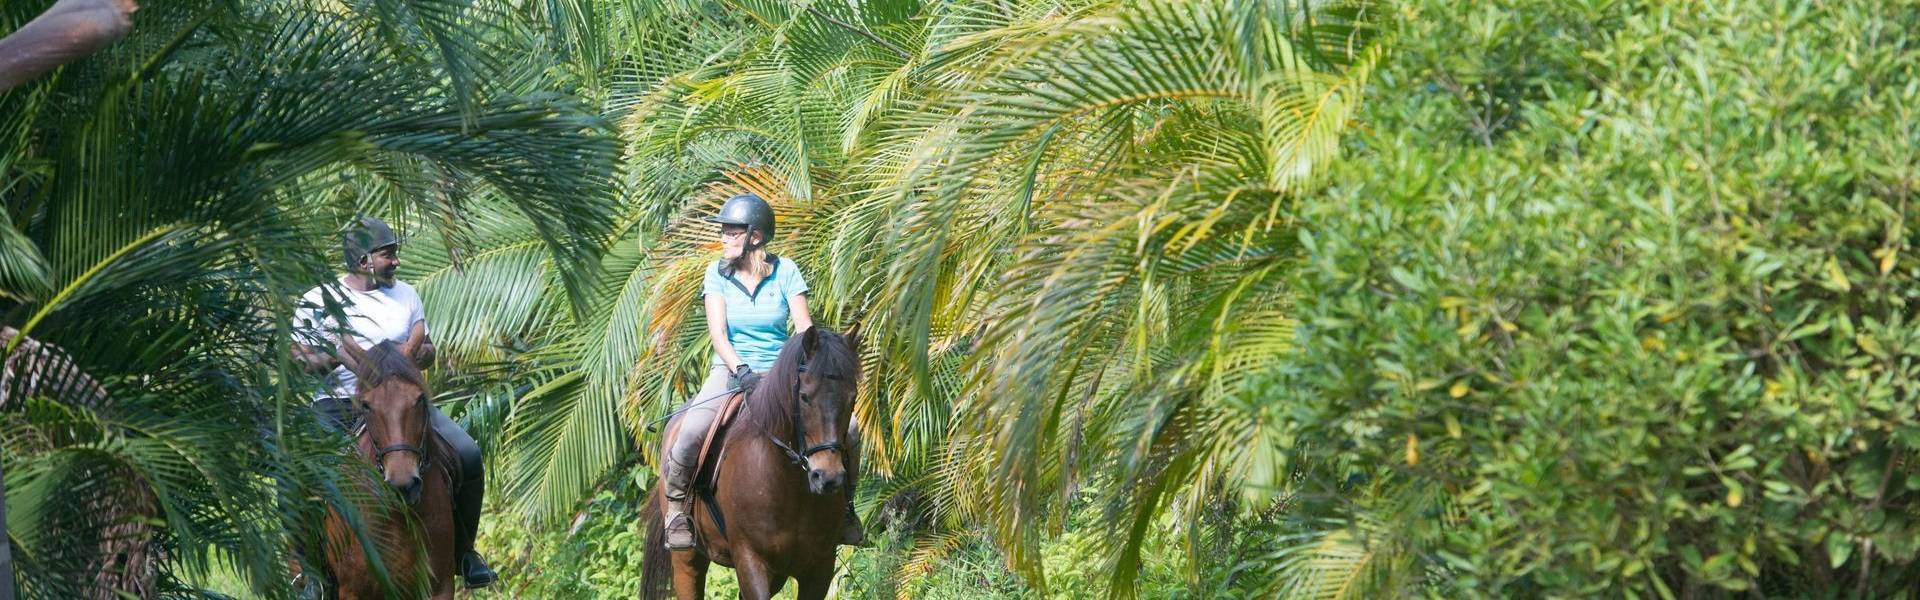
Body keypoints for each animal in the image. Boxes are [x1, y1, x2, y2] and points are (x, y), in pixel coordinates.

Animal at [641, 328, 860, 600]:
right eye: (804, 397)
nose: (828, 477)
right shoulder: (751, 560)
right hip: (688, 559)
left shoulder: (819, 566)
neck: (789, 484)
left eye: (852, 398)